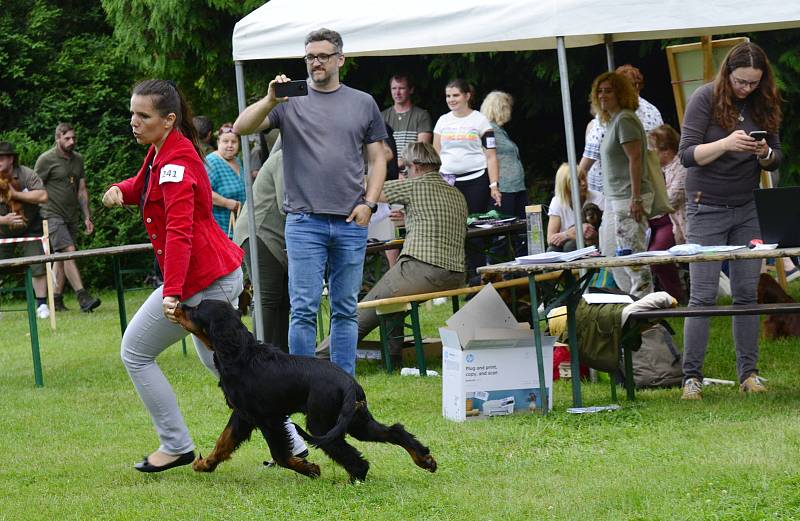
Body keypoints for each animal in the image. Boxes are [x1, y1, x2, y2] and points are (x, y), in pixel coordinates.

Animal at [173, 298, 438, 482]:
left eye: (197, 309)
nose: (178, 304)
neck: (240, 353)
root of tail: (348, 382)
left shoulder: (267, 419)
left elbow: (280, 455)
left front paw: (309, 469)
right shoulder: (243, 415)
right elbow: (224, 441)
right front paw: (205, 464)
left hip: (321, 425)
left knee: (353, 457)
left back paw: (351, 480)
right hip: (355, 421)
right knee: (394, 431)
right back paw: (424, 459)